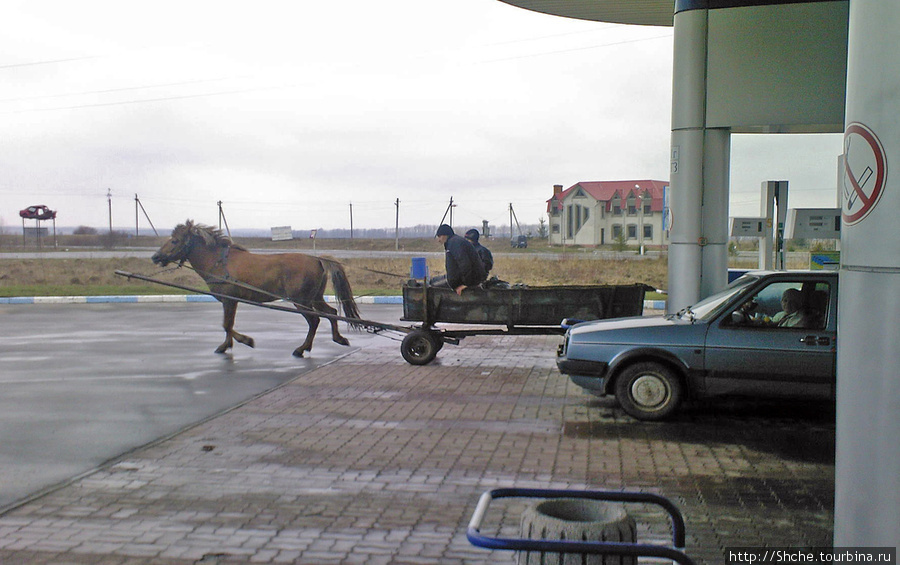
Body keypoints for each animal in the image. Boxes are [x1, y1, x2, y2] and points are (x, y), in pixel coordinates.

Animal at [149, 220, 360, 356]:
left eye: (175, 240)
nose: (155, 257)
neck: (219, 261)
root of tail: (317, 259)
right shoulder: (230, 301)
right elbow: (228, 325)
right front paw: (228, 345)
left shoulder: (229, 299)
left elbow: (227, 325)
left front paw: (244, 341)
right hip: (314, 298)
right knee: (331, 313)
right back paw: (338, 338)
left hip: (301, 301)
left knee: (315, 320)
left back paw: (302, 349)